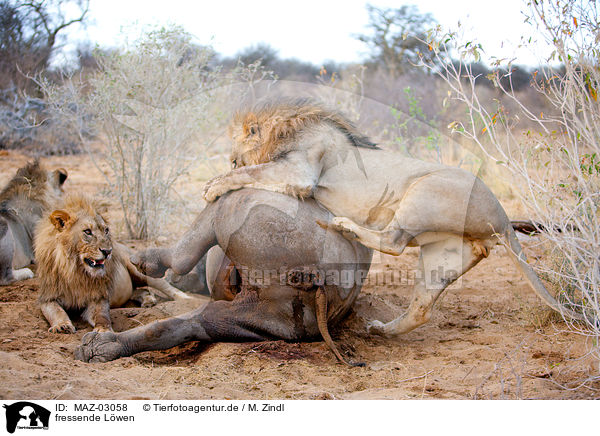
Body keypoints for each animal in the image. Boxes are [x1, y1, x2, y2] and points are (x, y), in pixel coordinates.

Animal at [35, 192, 190, 332]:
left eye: (106, 230)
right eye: (87, 231)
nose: (108, 251)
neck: (75, 271)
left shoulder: (99, 296)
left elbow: (101, 315)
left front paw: (103, 330)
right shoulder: (47, 297)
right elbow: (56, 311)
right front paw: (62, 325)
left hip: (139, 270)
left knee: (166, 286)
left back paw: (185, 299)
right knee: (140, 290)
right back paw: (148, 301)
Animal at [204, 99, 584, 338]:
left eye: (234, 158)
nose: (228, 161)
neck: (287, 131)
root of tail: (503, 217)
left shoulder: (299, 173)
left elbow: (253, 172)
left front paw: (212, 186)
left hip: (423, 192)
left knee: (394, 242)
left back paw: (344, 225)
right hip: (443, 254)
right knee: (420, 308)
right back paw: (380, 330)